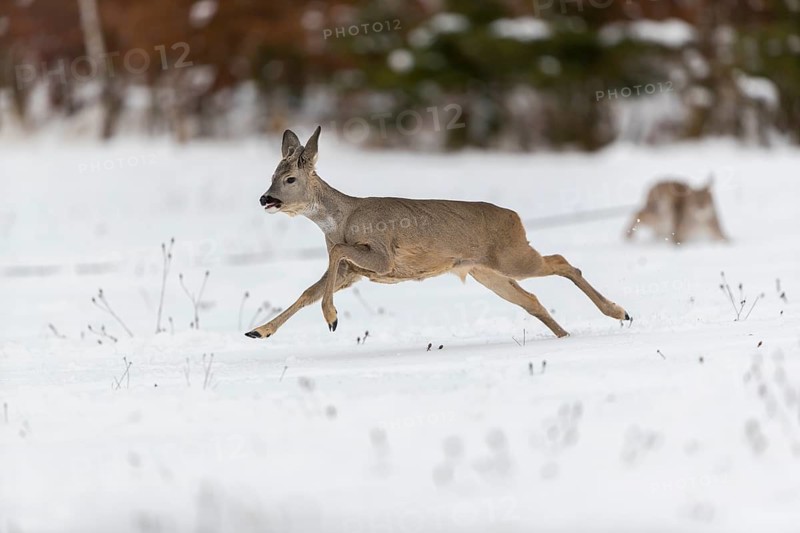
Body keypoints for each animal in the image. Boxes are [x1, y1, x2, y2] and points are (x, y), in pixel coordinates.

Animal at [245, 127, 631, 340]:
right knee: (531, 299)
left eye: (289, 179)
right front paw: (259, 330)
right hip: (486, 271)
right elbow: (309, 291)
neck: (342, 219)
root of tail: (516, 218)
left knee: (563, 262)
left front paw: (332, 318)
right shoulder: (354, 272)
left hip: (513, 256)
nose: (265, 198)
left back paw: (619, 312)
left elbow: (336, 256)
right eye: (271, 175)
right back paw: (567, 335)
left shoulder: (381, 257)